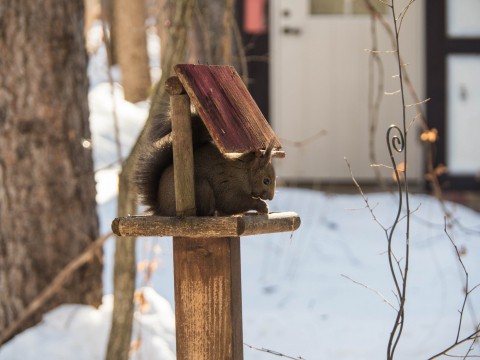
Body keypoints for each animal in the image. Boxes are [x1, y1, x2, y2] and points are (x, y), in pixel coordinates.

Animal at [133, 111, 276, 215]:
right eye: (266, 180)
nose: (270, 198)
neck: (244, 172)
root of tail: (161, 209)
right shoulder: (228, 185)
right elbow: (232, 202)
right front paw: (262, 206)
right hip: (202, 188)